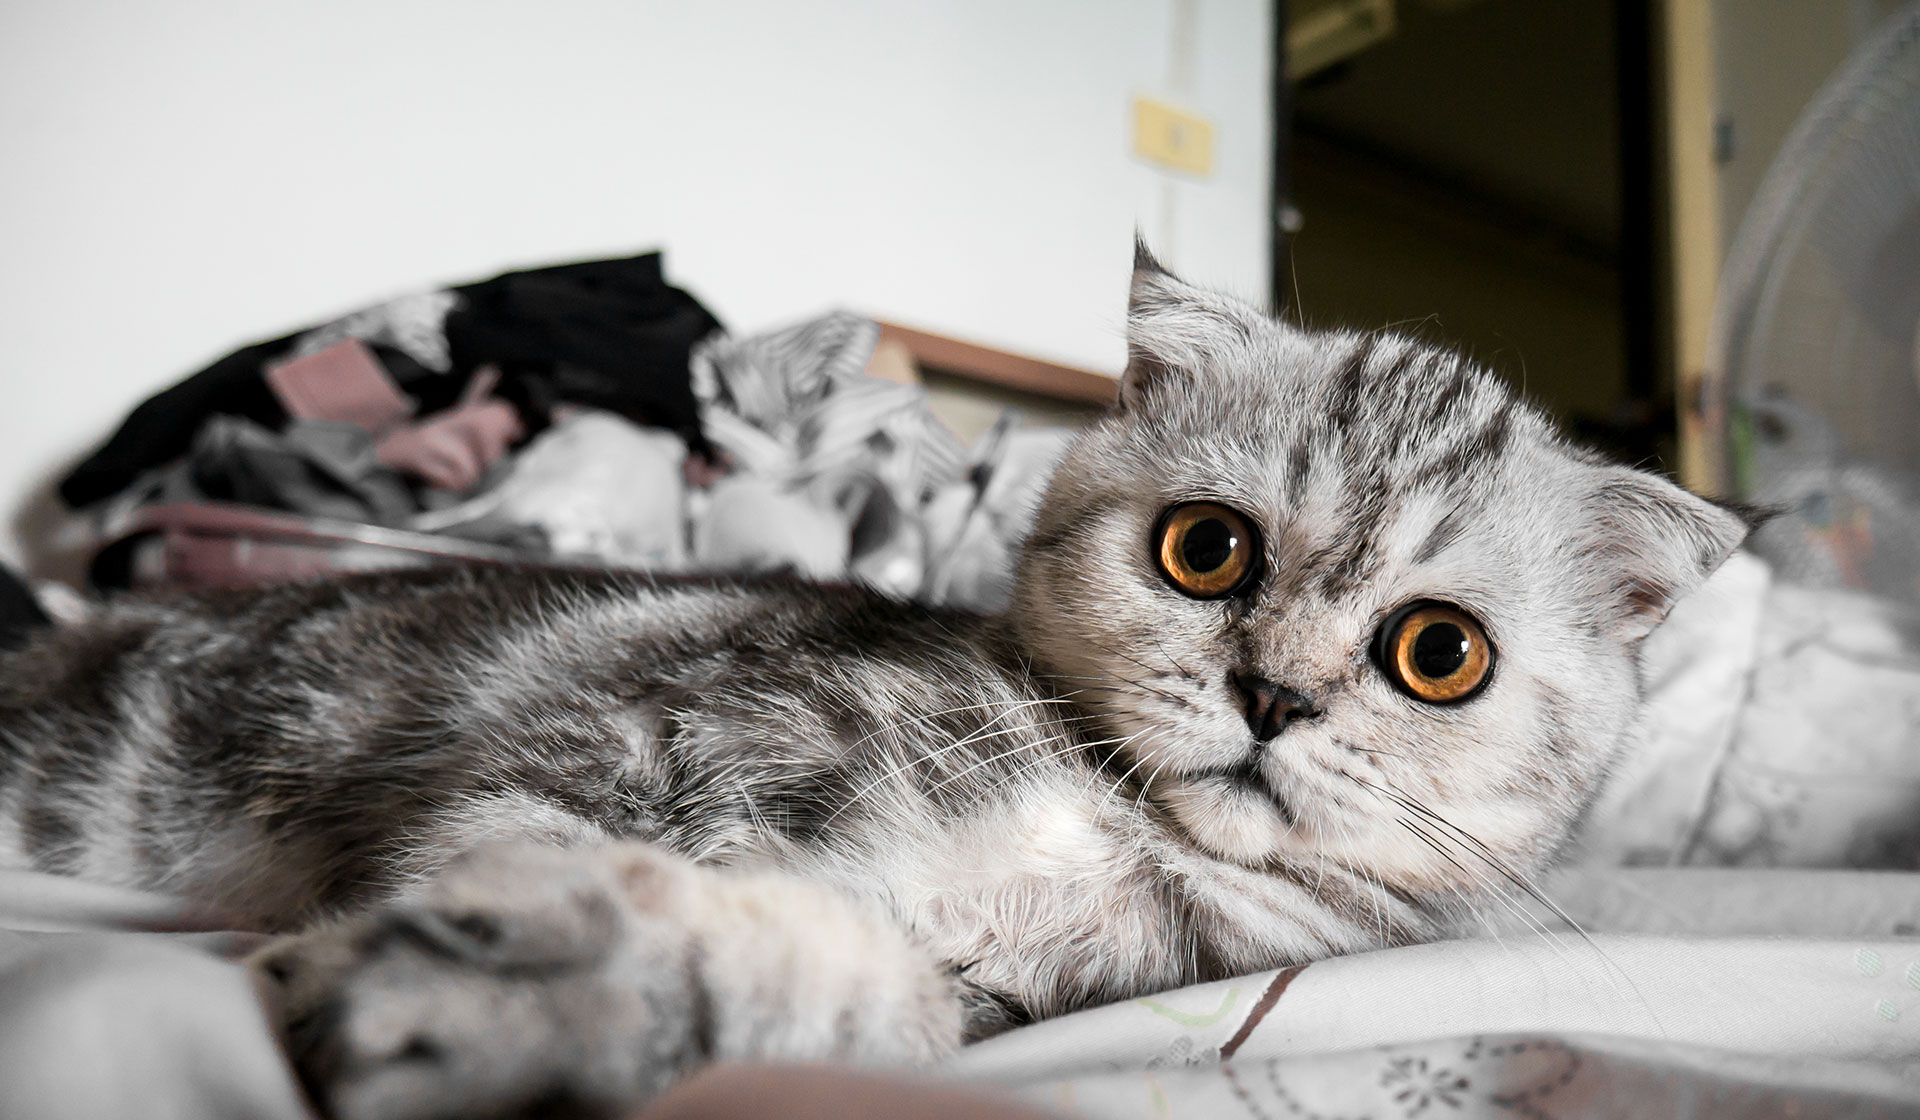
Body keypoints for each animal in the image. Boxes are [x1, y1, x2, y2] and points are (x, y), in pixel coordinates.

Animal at [0, 251, 1743, 1120]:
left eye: (1437, 654)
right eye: (1207, 551)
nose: (1274, 697)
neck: (1112, 829)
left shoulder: (1020, 1003)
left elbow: (872, 1007)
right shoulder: (625, 738)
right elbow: (523, 844)